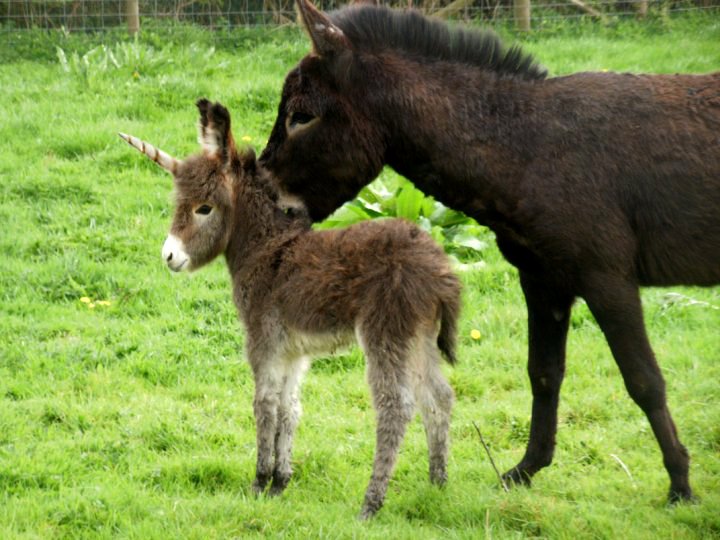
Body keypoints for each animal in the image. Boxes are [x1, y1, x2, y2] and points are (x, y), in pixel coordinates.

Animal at [121, 100, 462, 520]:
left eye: (204, 208)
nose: (169, 256)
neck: (266, 248)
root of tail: (439, 268)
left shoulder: (262, 340)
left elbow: (264, 405)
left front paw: (258, 482)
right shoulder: (293, 352)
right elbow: (290, 408)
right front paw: (280, 482)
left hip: (385, 335)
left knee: (395, 407)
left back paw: (371, 504)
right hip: (419, 337)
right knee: (439, 397)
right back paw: (438, 485)